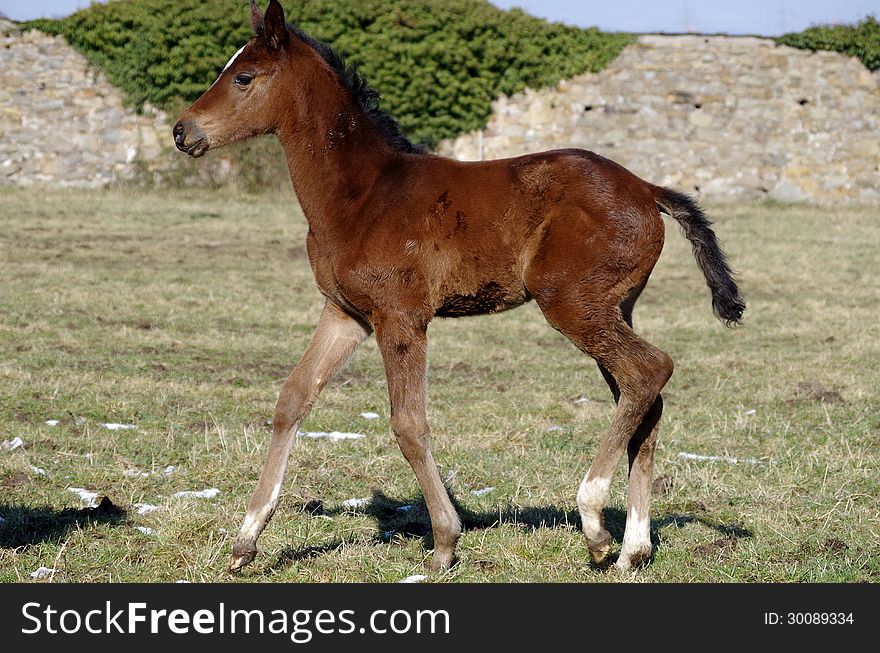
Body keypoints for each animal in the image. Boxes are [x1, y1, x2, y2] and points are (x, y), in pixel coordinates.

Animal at [170, 0, 744, 572]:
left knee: (649, 370)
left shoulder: (401, 318)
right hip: (614, 307)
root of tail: (646, 189)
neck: (362, 195)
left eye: (244, 77)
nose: (182, 131)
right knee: (645, 397)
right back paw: (633, 549)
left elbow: (408, 422)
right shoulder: (345, 313)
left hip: (572, 304)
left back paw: (595, 520)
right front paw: (245, 541)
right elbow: (293, 397)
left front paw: (445, 541)